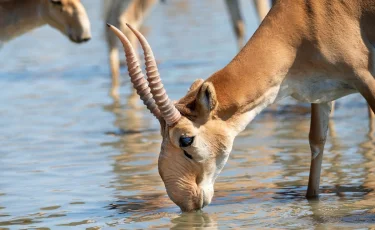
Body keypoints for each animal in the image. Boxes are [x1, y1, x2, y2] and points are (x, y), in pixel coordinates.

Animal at [106, 0, 375, 212]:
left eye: (186, 139)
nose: (183, 200)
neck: (306, 18)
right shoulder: (321, 95)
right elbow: (317, 143)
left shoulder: (365, 80)